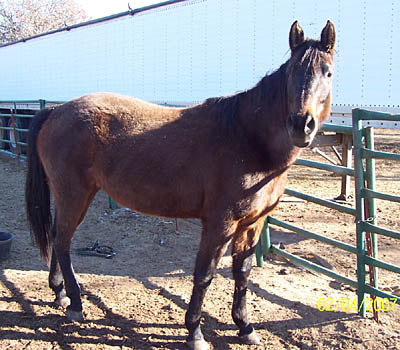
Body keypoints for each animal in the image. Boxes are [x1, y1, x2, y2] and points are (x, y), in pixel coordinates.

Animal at [25, 21, 334, 350]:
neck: (247, 139)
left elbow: (242, 273)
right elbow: (204, 275)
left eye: (328, 72)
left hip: (69, 195)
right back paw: (75, 303)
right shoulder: (219, 224)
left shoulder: (253, 223)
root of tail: (55, 112)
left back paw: (59, 294)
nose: (301, 125)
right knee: (62, 241)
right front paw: (195, 332)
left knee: (57, 236)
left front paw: (245, 326)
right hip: (74, 194)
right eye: (291, 72)